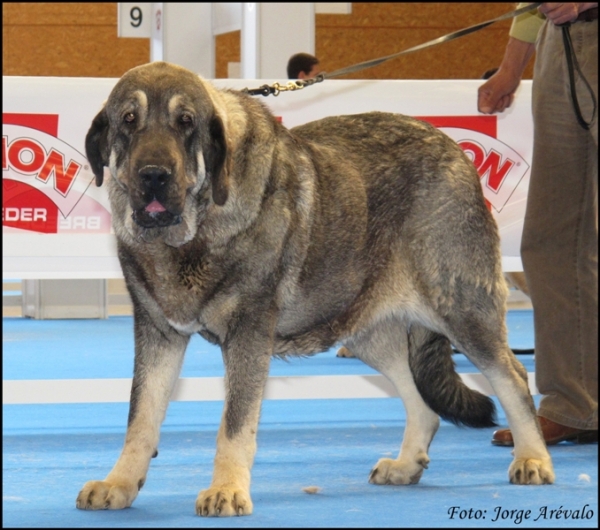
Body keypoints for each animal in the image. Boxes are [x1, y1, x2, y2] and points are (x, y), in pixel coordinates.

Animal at [77, 62, 556, 516]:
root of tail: (454, 149)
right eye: (129, 119)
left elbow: (235, 423)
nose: (153, 175)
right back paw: (406, 464)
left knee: (512, 376)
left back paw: (532, 458)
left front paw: (227, 489)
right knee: (421, 403)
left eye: (186, 122)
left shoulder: (248, 332)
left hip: (461, 309)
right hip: (365, 332)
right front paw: (120, 483)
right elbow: (141, 415)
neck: (194, 232)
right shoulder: (158, 333)